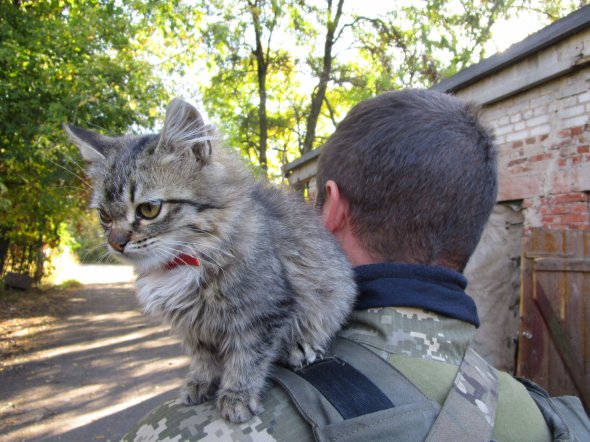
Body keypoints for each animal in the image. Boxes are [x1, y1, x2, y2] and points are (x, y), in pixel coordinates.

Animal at [67, 98, 358, 424]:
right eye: (104, 215)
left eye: (149, 209)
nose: (116, 243)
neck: (182, 262)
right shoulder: (193, 327)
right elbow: (203, 357)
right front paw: (200, 382)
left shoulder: (263, 312)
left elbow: (247, 358)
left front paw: (237, 395)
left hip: (334, 296)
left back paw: (300, 347)